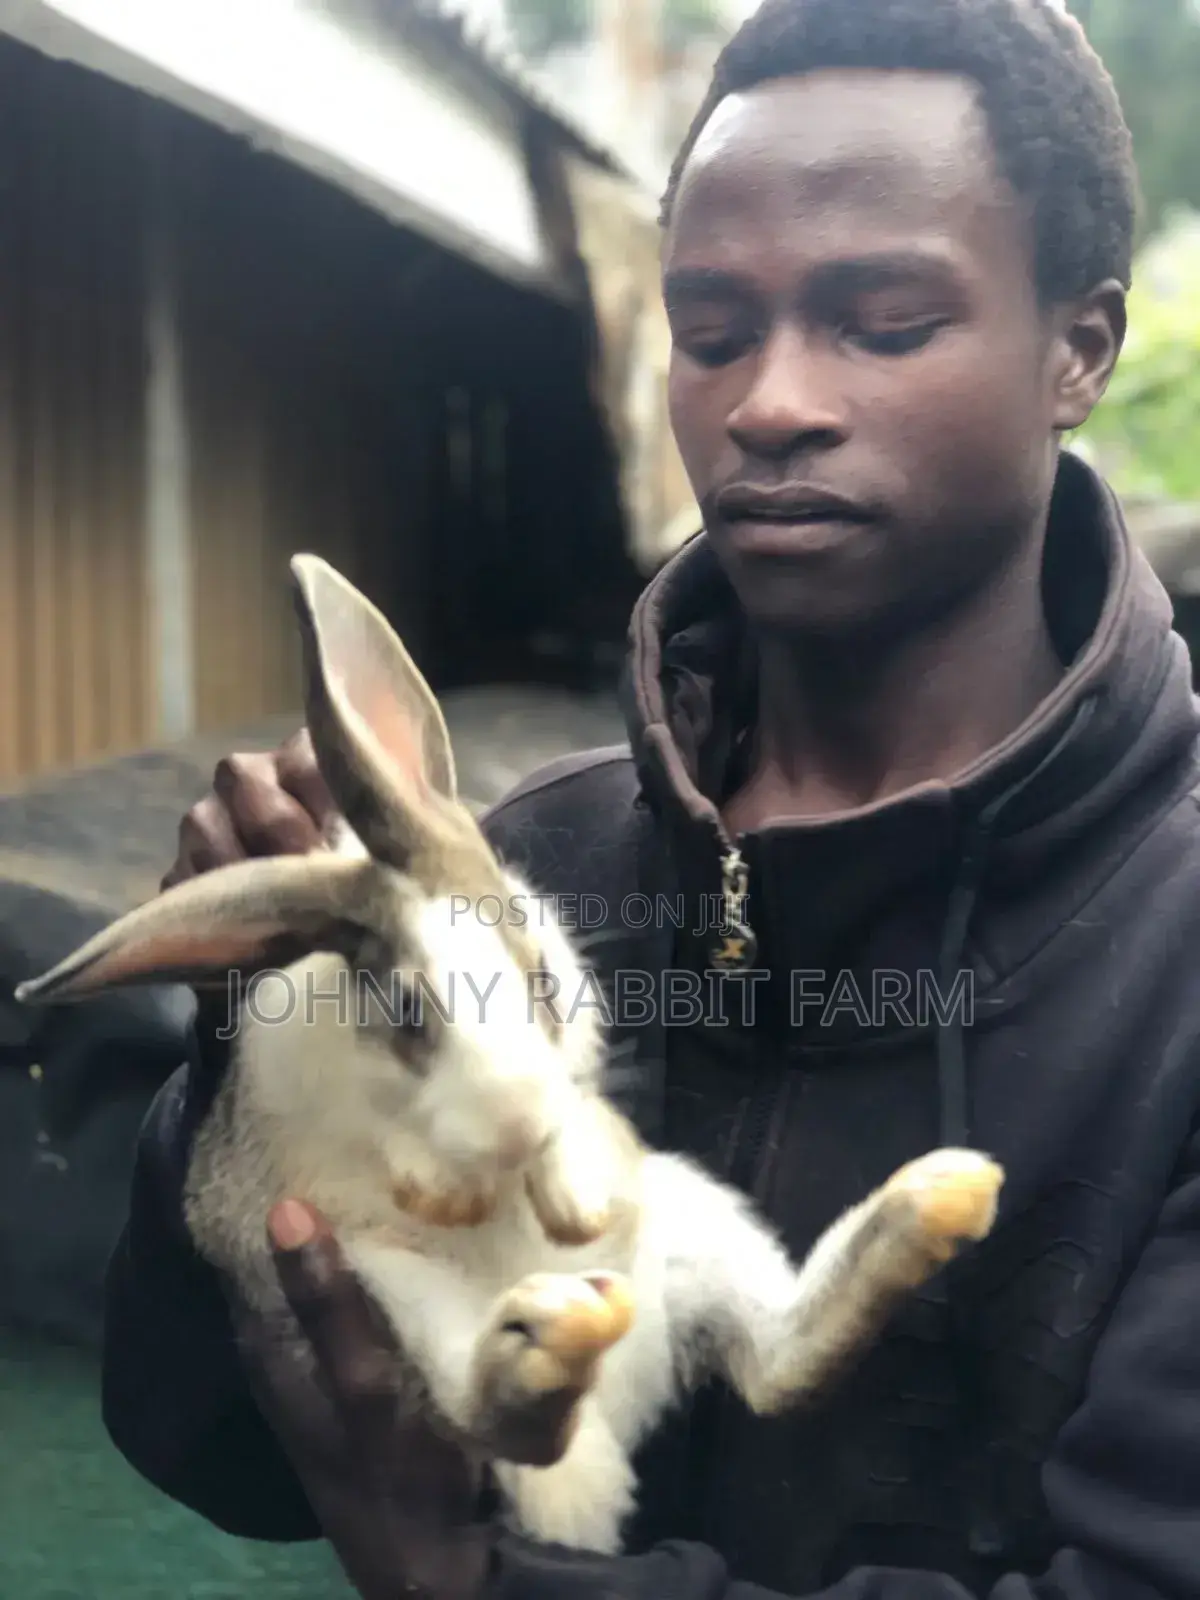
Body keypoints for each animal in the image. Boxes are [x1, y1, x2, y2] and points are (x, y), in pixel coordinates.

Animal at [14, 553, 1004, 1555]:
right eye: (404, 1012)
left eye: (537, 970)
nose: (519, 1123)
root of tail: (617, 1402)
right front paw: (461, 1195)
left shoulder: (573, 1072)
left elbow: (578, 1130)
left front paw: (575, 1205)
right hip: (400, 1300)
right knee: (509, 1417)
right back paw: (553, 1339)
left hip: (695, 1228)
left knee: (776, 1359)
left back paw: (938, 1198)